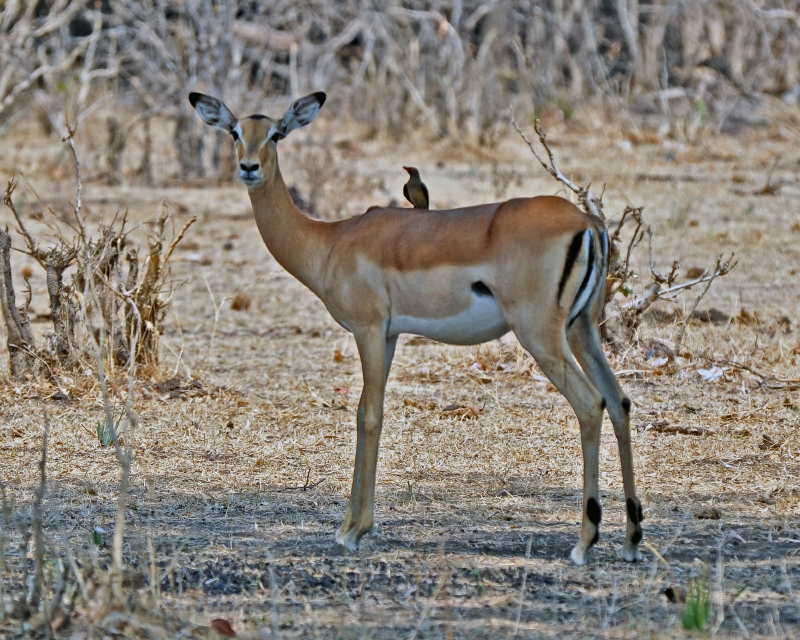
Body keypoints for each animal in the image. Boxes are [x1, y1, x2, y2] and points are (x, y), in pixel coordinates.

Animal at [189, 91, 643, 565]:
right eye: (235, 131)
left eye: (276, 134)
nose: (248, 168)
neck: (331, 241)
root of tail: (588, 224)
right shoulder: (388, 335)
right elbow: (363, 413)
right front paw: (351, 526)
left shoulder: (368, 329)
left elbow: (370, 415)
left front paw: (353, 531)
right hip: (582, 330)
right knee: (619, 400)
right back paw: (631, 539)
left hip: (541, 335)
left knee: (590, 404)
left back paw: (584, 543)